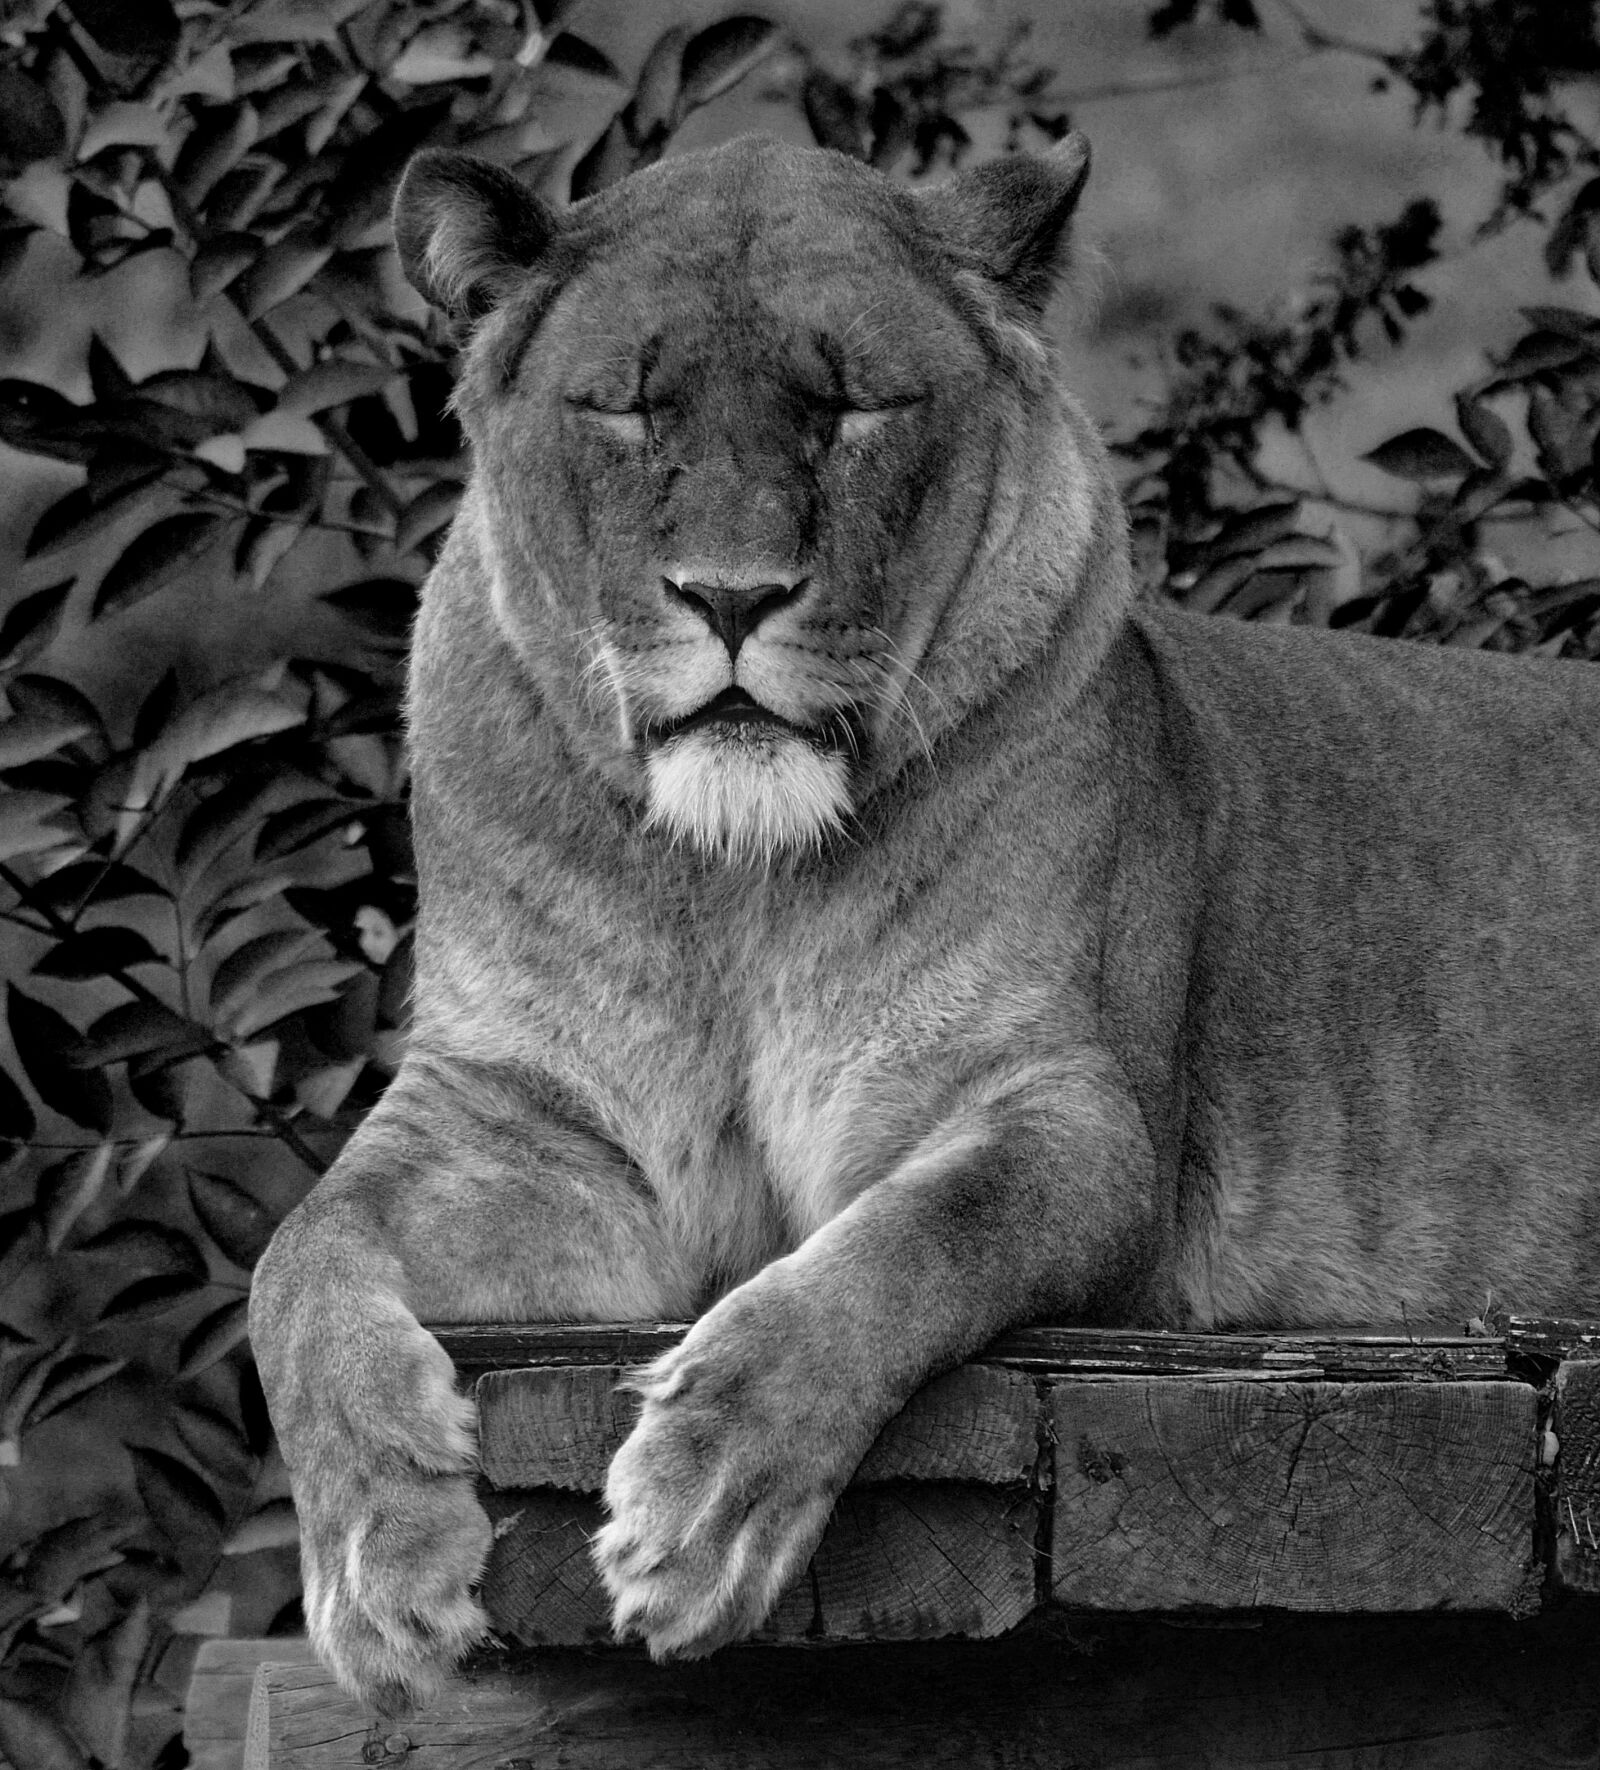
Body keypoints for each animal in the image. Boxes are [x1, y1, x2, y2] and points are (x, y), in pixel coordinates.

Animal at [248, 131, 1600, 1714]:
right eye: (627, 408)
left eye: (854, 409)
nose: (730, 597)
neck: (734, 883)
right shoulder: (522, 1122)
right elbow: (302, 1257)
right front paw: (375, 1560)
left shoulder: (1069, 1115)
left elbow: (907, 1249)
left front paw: (703, 1503)